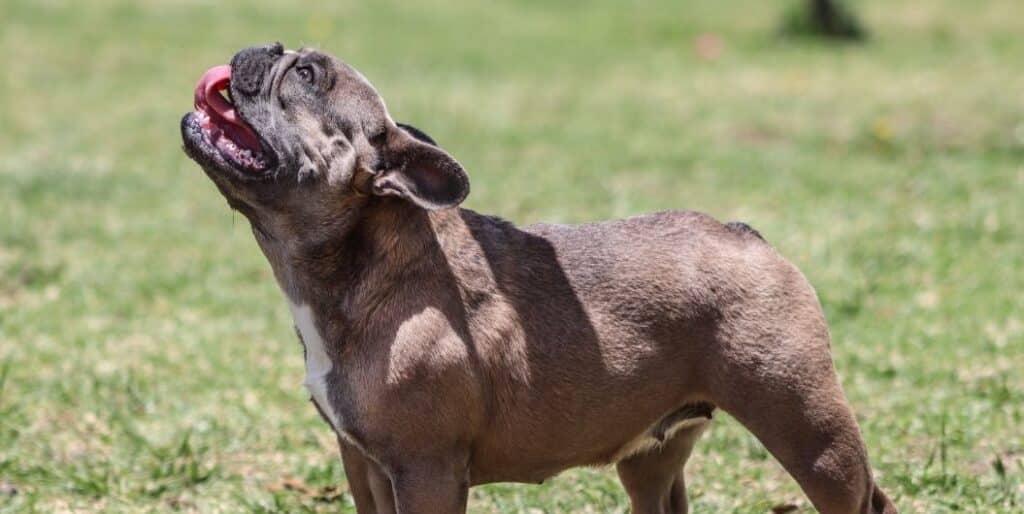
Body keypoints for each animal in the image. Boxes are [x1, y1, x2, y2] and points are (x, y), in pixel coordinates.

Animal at [182, 44, 897, 514]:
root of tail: (745, 234)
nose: (259, 47)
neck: (361, 265)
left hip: (809, 430)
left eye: (305, 76)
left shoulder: (425, 469)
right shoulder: (362, 462)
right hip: (653, 456)